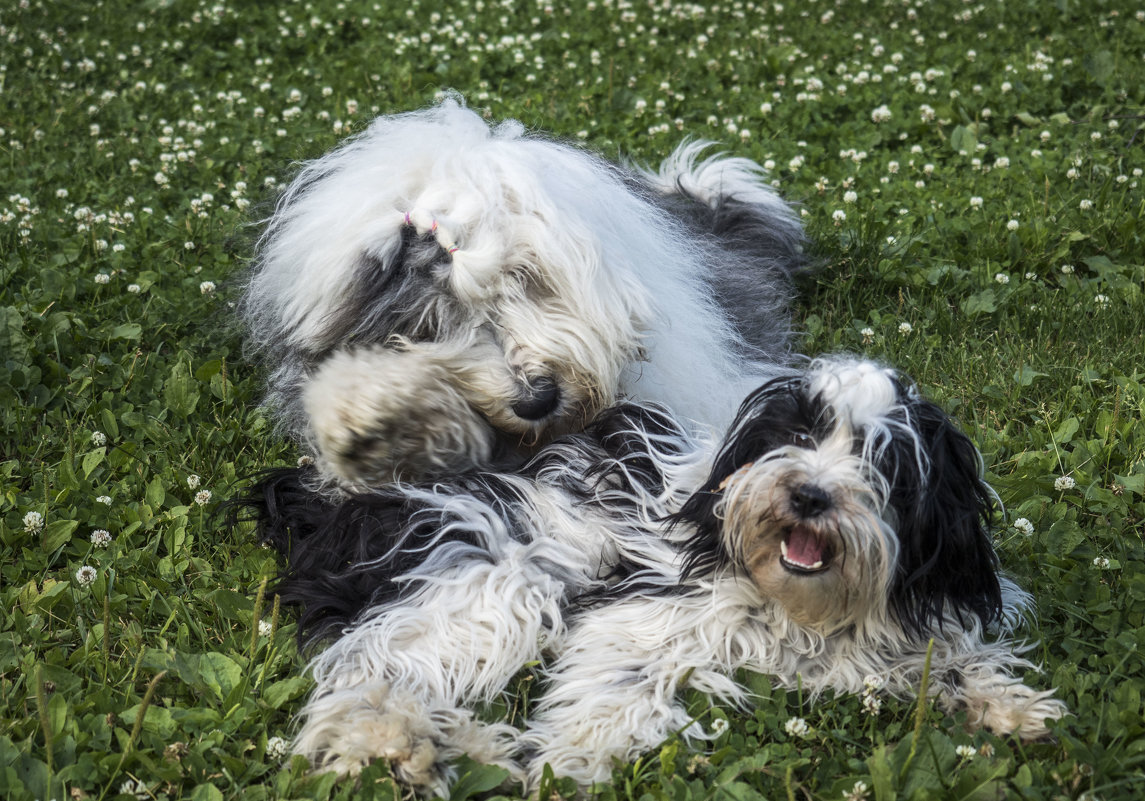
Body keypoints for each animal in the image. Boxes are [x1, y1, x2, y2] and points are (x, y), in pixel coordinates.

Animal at [248, 359, 1062, 796]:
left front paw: (1008, 704)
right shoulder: (643, 607)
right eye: (798, 435)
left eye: (881, 457)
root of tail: (337, 503)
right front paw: (570, 769)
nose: (808, 494)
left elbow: (951, 658)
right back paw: (396, 745)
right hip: (491, 572)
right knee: (369, 669)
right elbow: (612, 686)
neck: (802, 608)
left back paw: (469, 752)